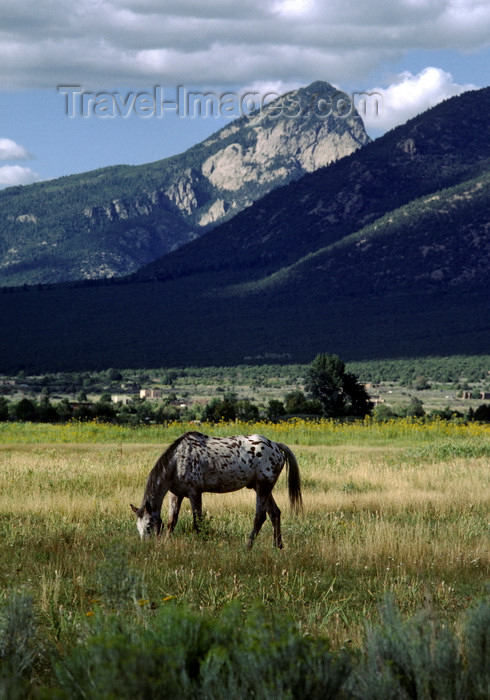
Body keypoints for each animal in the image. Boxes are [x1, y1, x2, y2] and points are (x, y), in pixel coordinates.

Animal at [132, 432, 302, 548]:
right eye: (138, 527)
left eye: (148, 526)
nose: (146, 546)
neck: (178, 460)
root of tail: (276, 446)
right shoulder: (176, 494)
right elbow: (171, 522)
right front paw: (167, 542)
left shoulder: (195, 493)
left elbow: (198, 522)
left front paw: (202, 543)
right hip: (262, 488)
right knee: (275, 513)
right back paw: (278, 546)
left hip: (262, 488)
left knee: (260, 517)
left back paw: (248, 546)